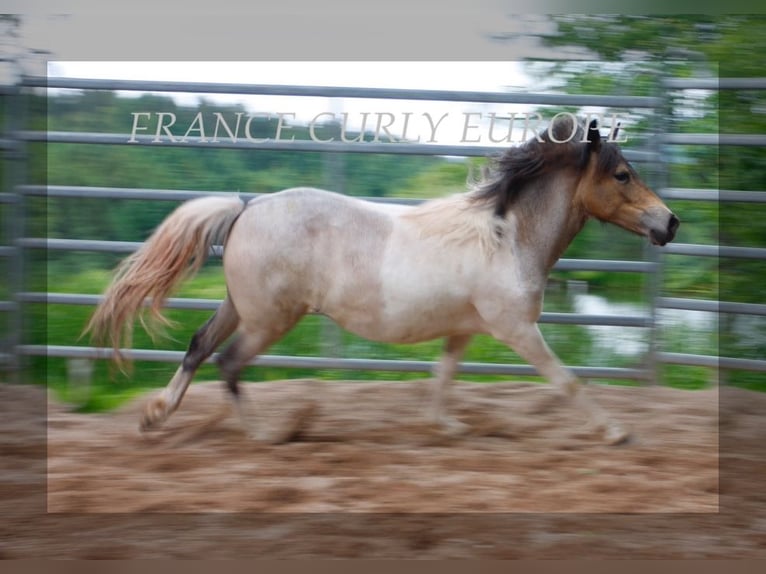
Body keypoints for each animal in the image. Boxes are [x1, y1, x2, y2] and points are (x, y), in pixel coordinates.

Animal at [87, 119, 680, 448]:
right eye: (622, 174)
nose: (670, 223)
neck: (506, 236)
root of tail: (246, 208)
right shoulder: (516, 329)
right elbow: (567, 381)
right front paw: (617, 432)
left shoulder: (465, 329)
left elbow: (443, 378)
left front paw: (447, 429)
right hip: (270, 319)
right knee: (229, 363)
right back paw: (266, 435)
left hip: (242, 307)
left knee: (198, 347)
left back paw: (155, 416)